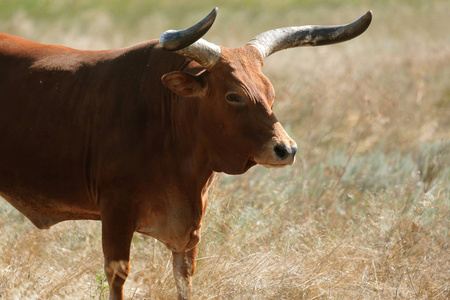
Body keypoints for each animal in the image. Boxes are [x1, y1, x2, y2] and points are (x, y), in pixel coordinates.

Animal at [0, 7, 372, 300]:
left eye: (270, 93)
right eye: (234, 95)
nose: (286, 149)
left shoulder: (189, 230)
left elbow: (184, 277)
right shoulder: (116, 212)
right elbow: (117, 275)